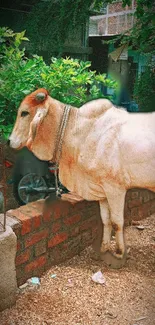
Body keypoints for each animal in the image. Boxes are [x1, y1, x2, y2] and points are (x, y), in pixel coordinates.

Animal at [9, 87, 155, 264]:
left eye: (24, 113)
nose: (9, 141)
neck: (79, 131)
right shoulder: (101, 188)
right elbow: (105, 220)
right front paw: (103, 249)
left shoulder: (116, 189)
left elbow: (117, 222)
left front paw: (120, 253)